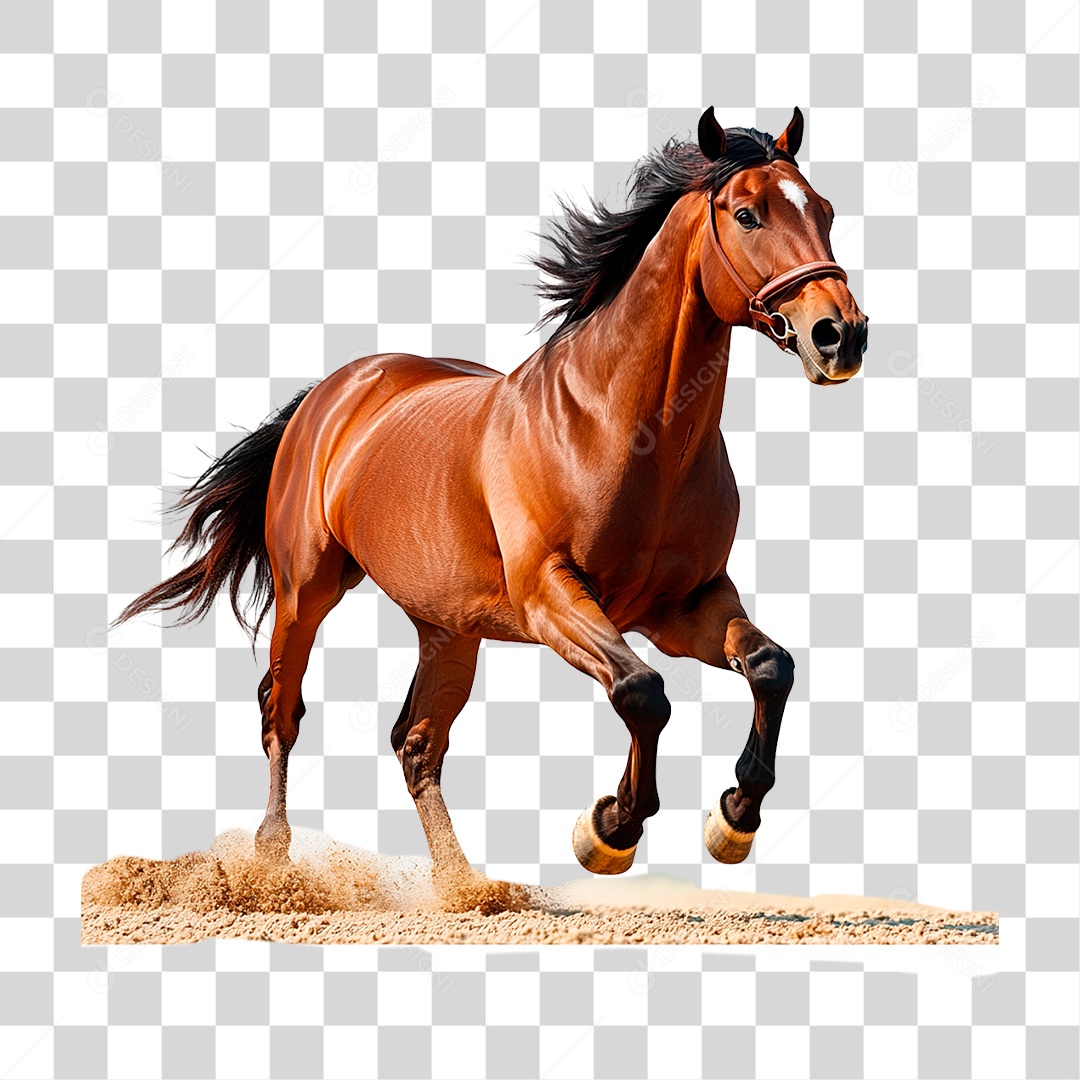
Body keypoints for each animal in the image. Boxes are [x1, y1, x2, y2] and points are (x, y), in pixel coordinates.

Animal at [116, 107, 867, 910]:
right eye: (748, 213)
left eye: (825, 211)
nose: (839, 334)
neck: (627, 431)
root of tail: (334, 392)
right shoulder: (551, 598)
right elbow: (643, 692)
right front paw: (610, 828)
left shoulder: (686, 606)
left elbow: (769, 666)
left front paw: (734, 817)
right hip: (306, 591)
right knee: (281, 711)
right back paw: (272, 862)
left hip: (449, 628)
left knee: (417, 744)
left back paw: (462, 887)